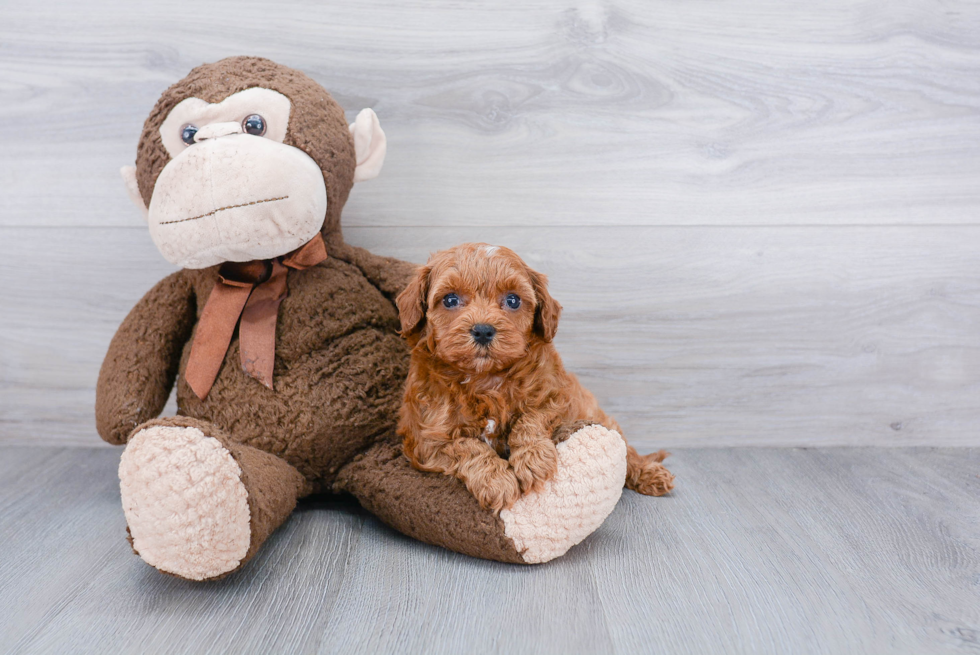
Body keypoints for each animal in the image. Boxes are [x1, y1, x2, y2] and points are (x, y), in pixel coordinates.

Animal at [392, 242, 672, 512]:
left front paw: (532, 459)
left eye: (513, 300)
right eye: (450, 300)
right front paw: (497, 481)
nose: (483, 330)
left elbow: (531, 418)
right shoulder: (427, 441)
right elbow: (466, 447)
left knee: (627, 449)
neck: (485, 378)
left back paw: (650, 474)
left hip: (595, 414)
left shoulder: (556, 397)